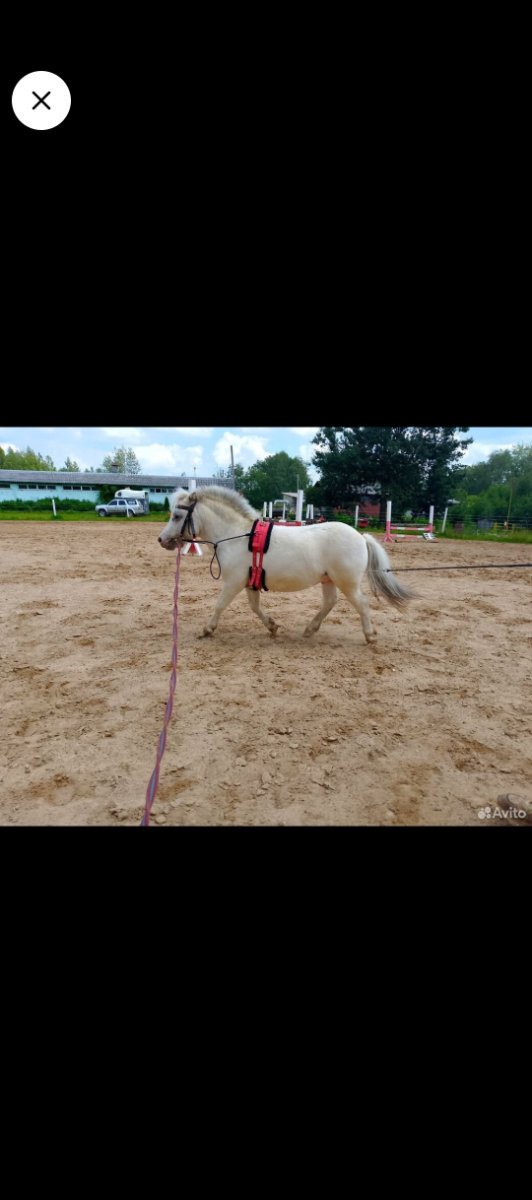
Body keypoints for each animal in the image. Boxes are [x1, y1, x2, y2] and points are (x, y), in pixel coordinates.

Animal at [158, 486, 414, 641]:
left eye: (177, 516)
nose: (162, 540)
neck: (236, 535)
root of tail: (361, 537)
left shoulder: (233, 582)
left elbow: (220, 605)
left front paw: (207, 630)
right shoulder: (250, 582)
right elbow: (255, 607)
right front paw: (272, 627)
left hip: (347, 583)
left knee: (362, 604)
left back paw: (369, 635)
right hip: (328, 580)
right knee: (329, 603)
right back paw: (310, 630)